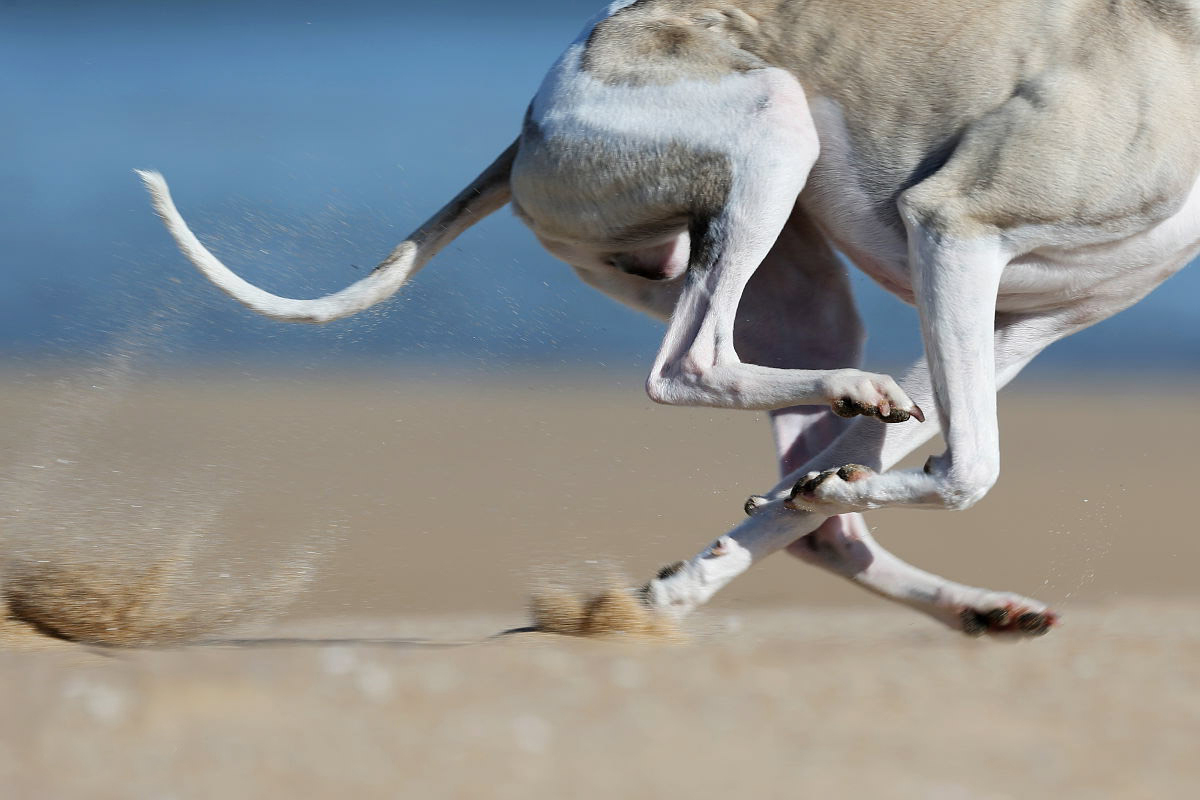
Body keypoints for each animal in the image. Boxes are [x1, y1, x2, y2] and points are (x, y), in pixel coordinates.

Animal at [142, 1, 1200, 638]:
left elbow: (890, 473)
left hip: (787, 286)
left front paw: (729, 552)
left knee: (814, 485)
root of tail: (534, 116)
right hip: (773, 129)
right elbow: (972, 469)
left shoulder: (1021, 320)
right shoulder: (955, 228)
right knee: (688, 367)